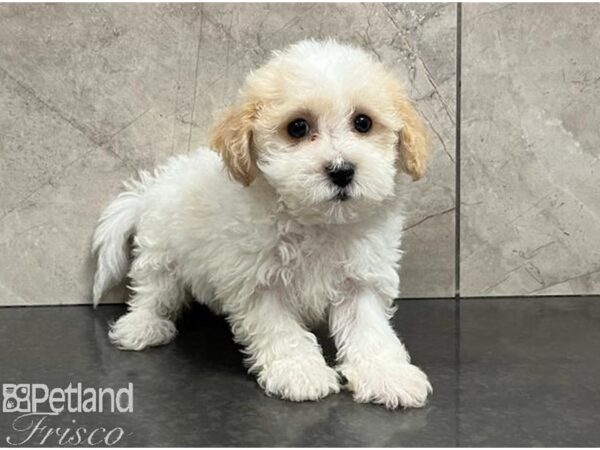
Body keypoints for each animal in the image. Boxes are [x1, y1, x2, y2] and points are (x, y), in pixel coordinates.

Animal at [92, 40, 432, 410]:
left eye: (363, 122)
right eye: (297, 127)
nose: (342, 171)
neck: (317, 222)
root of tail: (154, 187)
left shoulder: (362, 278)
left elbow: (369, 328)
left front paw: (386, 374)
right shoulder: (257, 280)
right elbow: (280, 328)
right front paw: (299, 372)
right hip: (161, 251)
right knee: (152, 291)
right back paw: (142, 326)